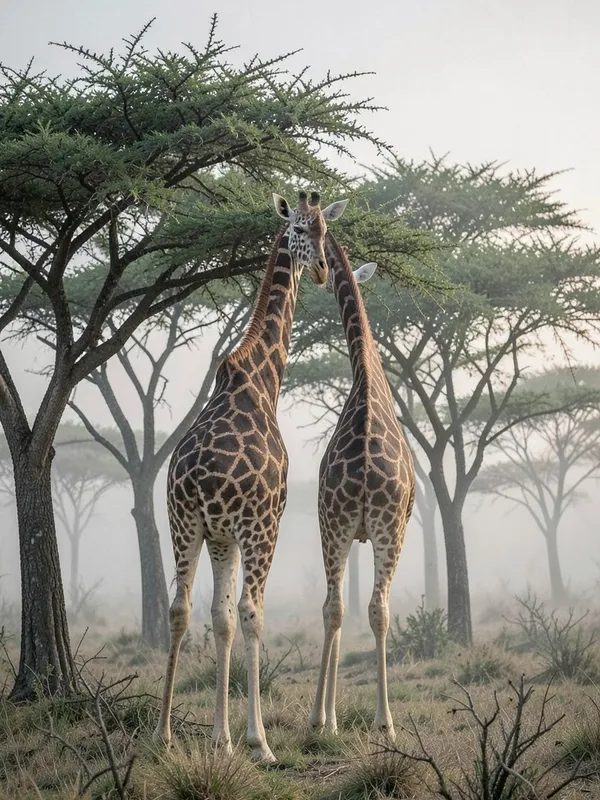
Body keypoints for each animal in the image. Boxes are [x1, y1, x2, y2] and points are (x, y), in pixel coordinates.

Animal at [153, 190, 348, 763]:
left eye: (326, 229)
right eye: (303, 230)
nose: (322, 268)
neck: (264, 377)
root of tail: (195, 473)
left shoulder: (221, 535)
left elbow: (218, 618)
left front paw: (219, 737)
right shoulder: (263, 522)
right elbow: (247, 614)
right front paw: (248, 738)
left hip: (182, 521)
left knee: (178, 608)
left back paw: (163, 733)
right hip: (254, 528)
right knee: (250, 610)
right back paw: (260, 742)